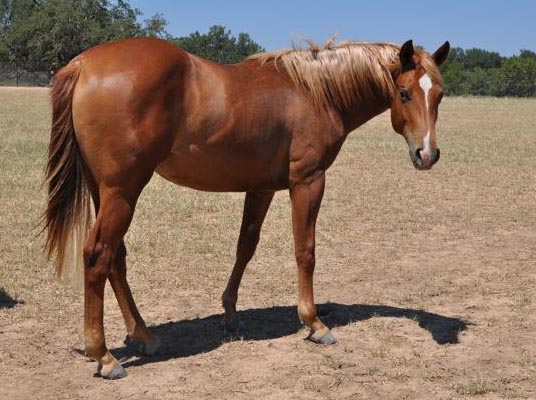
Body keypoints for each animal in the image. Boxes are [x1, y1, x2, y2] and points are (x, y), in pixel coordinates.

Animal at [44, 36, 450, 378]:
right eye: (404, 93)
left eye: (440, 95)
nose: (427, 154)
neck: (315, 92)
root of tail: (83, 63)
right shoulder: (308, 181)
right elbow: (305, 251)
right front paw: (314, 323)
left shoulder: (261, 189)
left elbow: (245, 247)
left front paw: (231, 314)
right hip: (123, 192)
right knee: (98, 255)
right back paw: (104, 356)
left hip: (106, 191)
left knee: (116, 257)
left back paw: (143, 336)